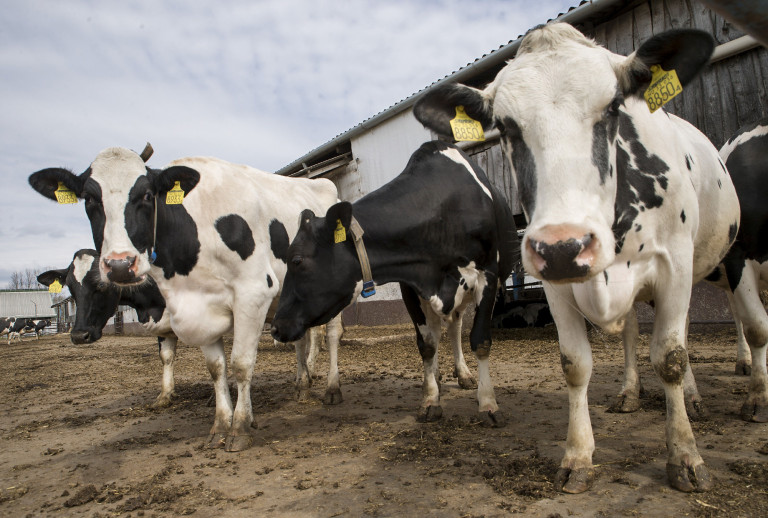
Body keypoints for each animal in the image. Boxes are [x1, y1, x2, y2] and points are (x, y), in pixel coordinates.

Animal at [29, 146, 342, 450]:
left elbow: (241, 364)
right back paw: (302, 385)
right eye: (90, 199)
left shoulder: (252, 292)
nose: (120, 264)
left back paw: (331, 388)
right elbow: (213, 368)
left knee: (330, 335)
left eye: (147, 195)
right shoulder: (198, 306)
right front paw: (220, 423)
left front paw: (240, 427)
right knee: (300, 338)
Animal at [272, 141, 520, 426]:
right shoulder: (411, 285)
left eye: (296, 260)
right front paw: (430, 400)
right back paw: (436, 379)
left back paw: (464, 374)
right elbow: (427, 344)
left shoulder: (487, 276)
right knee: (440, 330)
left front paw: (488, 404)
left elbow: (480, 341)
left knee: (455, 328)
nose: (275, 327)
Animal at [416, 23, 740, 496]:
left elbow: (670, 357)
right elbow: (575, 364)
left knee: (679, 336)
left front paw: (684, 454)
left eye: (613, 107)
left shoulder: (675, 265)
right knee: (632, 332)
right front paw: (578, 455)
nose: (564, 245)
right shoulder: (554, 282)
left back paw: (693, 397)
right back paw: (628, 392)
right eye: (506, 127)